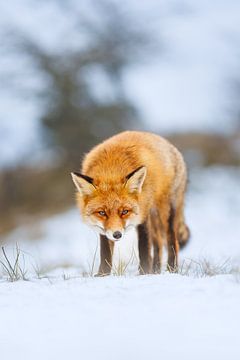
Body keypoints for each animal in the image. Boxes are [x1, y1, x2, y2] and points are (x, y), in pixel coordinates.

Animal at [71, 131, 189, 274]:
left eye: (125, 211)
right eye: (102, 213)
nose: (117, 234)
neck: (111, 170)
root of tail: (168, 143)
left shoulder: (143, 213)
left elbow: (144, 248)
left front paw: (144, 273)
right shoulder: (105, 230)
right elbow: (105, 252)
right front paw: (102, 275)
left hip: (166, 212)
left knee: (172, 240)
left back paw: (172, 270)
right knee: (159, 244)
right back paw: (156, 270)